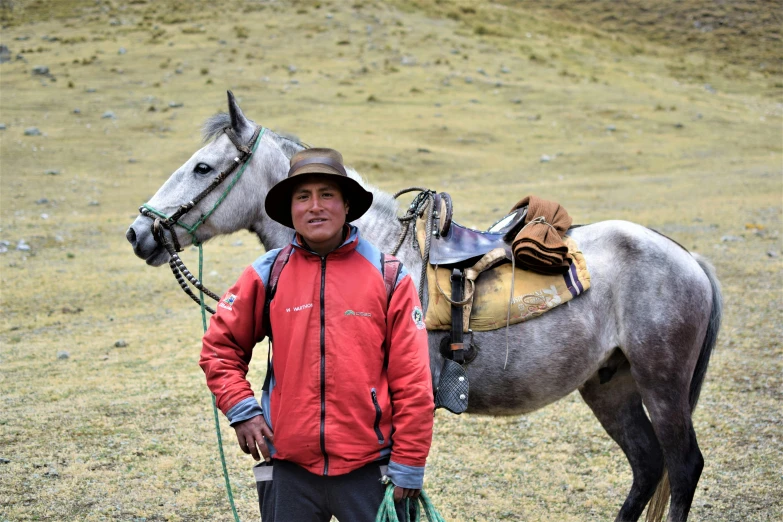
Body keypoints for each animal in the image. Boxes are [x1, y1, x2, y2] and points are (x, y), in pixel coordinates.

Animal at [129, 93, 724, 520]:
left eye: (203, 167)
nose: (138, 232)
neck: (370, 246)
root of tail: (689, 259)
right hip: (609, 384)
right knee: (647, 466)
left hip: (661, 383)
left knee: (682, 466)